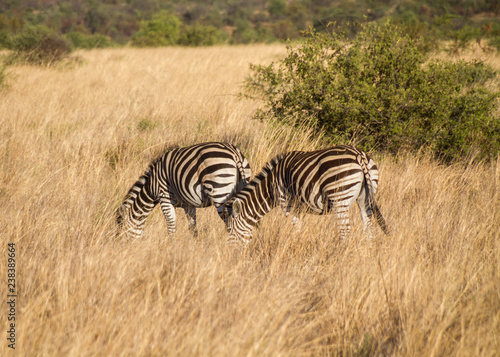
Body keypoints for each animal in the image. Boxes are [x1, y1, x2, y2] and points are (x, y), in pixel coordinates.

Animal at [116, 140, 250, 238]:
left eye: (120, 235)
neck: (151, 186)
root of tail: (234, 152)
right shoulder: (189, 205)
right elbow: (193, 228)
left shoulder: (164, 197)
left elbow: (171, 226)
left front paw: (170, 247)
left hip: (220, 192)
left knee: (231, 222)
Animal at [219, 144, 386, 242]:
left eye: (229, 230)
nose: (232, 254)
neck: (270, 188)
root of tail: (359, 155)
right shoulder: (299, 207)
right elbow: (299, 227)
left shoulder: (287, 203)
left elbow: (296, 229)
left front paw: (295, 247)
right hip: (365, 198)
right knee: (368, 228)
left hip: (340, 198)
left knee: (345, 232)